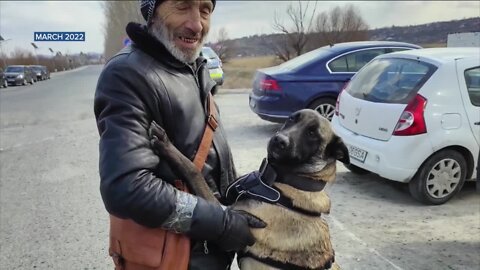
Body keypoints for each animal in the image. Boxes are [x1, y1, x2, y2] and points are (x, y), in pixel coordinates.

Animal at [149, 108, 348, 268]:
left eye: (312, 134)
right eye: (292, 119)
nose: (279, 140)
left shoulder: (226, 212)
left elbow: (193, 170)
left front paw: (166, 144)